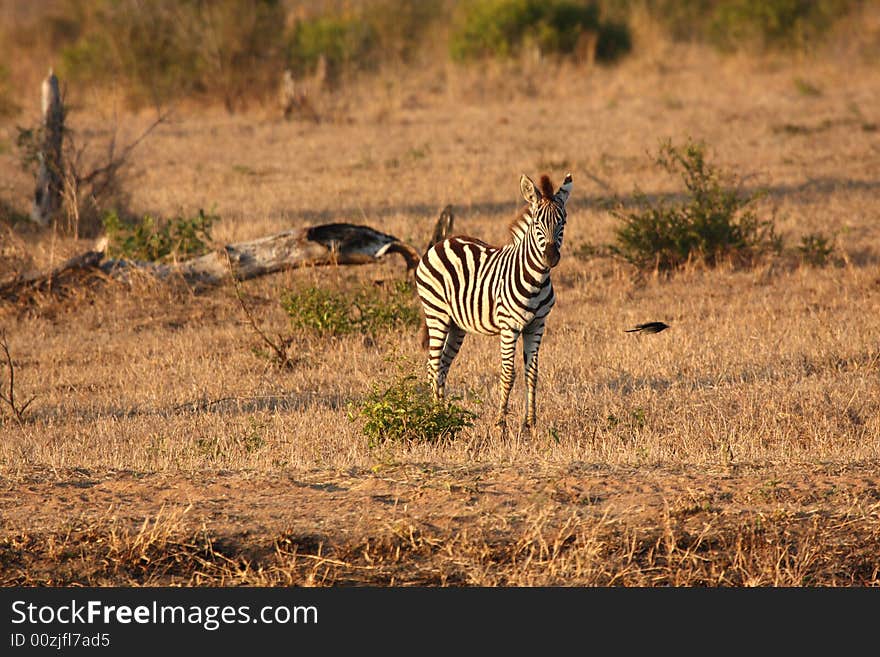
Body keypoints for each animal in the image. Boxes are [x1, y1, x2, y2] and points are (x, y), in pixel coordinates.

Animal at [416, 172, 576, 434]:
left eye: (562, 221)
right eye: (536, 223)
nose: (551, 257)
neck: (536, 279)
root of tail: (443, 242)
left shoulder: (537, 326)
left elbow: (532, 374)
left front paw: (530, 423)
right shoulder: (509, 326)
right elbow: (508, 374)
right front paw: (501, 424)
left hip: (457, 325)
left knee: (443, 367)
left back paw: (444, 415)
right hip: (436, 314)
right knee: (432, 366)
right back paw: (434, 417)